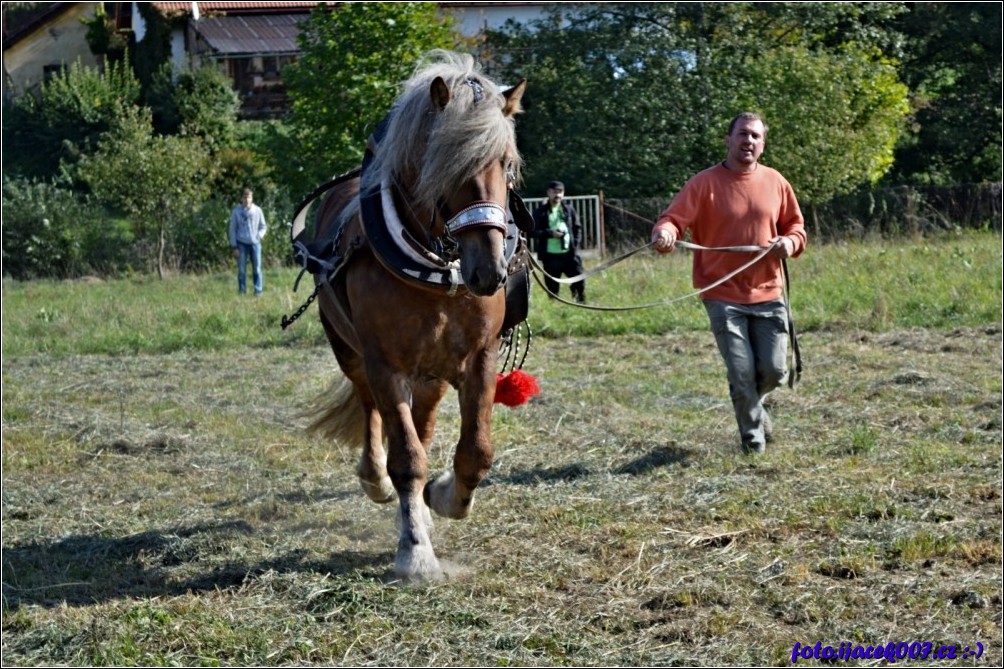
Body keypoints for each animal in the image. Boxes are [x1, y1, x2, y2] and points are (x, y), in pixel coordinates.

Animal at [297, 52, 530, 582]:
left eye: (506, 165)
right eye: (443, 166)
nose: (489, 270)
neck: (435, 272)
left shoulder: (478, 359)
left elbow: (475, 450)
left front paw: (444, 498)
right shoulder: (385, 364)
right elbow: (405, 456)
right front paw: (415, 552)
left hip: (432, 374)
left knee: (422, 425)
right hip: (352, 351)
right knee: (372, 410)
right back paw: (376, 479)